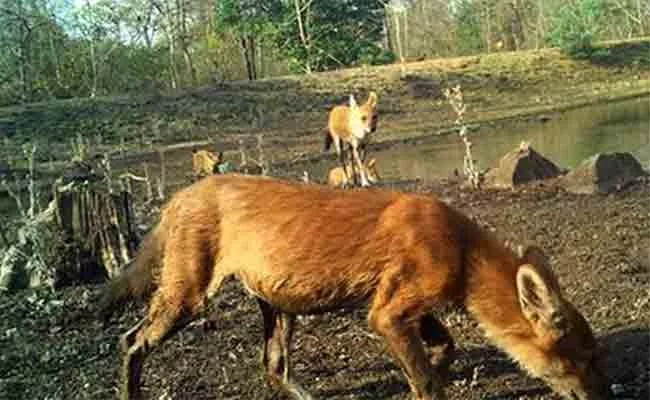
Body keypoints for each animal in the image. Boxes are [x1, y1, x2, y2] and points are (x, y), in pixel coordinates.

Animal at [100, 175, 608, 400]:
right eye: (585, 360)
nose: (608, 398)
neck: (460, 247)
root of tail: (180, 194)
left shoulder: (405, 307)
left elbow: (443, 351)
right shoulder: (387, 313)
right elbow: (427, 378)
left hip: (279, 308)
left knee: (273, 368)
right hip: (187, 297)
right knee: (131, 341)